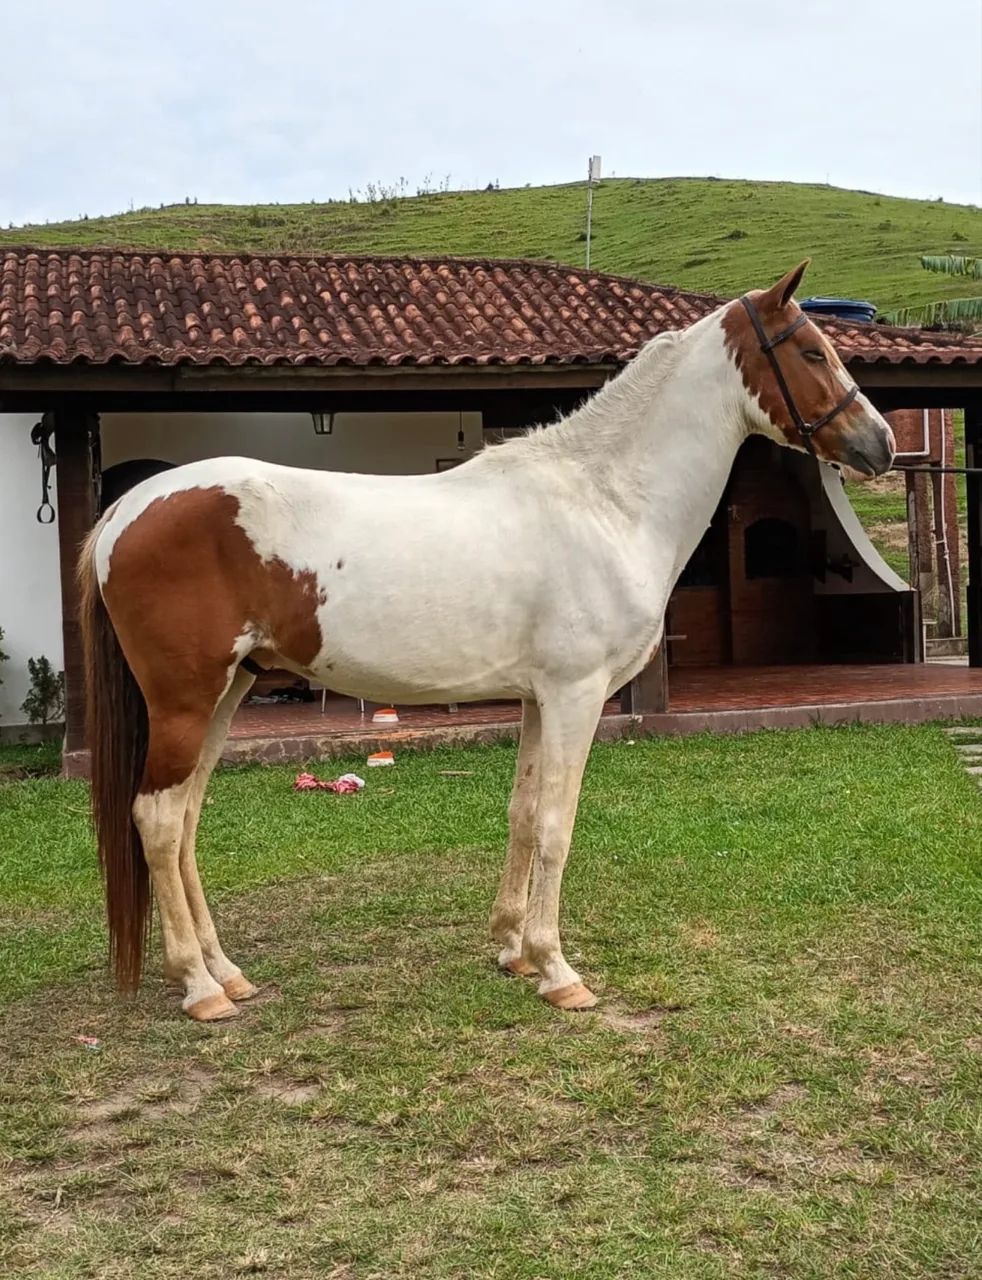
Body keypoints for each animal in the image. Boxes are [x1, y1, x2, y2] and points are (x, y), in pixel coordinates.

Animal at [78, 261, 895, 1022]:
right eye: (813, 351)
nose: (881, 444)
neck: (605, 502)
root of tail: (127, 508)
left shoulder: (539, 698)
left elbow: (524, 814)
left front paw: (513, 950)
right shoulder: (576, 696)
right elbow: (558, 826)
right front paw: (558, 971)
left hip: (230, 691)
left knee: (186, 821)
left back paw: (227, 974)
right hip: (186, 701)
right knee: (158, 821)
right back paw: (198, 988)